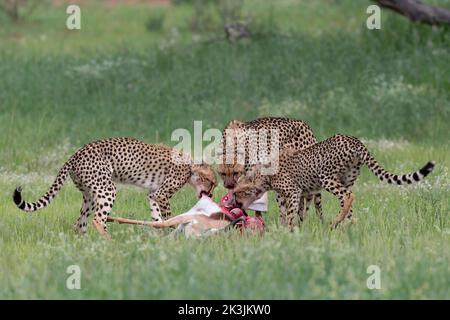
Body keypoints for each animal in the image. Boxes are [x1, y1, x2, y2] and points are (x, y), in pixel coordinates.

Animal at [12, 138, 216, 238]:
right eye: (212, 182)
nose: (211, 194)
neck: (190, 167)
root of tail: (76, 153)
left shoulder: (153, 194)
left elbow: (157, 217)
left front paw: (161, 236)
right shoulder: (162, 194)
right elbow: (167, 216)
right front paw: (171, 232)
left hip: (89, 195)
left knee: (80, 223)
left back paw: (85, 246)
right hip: (107, 189)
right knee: (97, 219)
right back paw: (110, 243)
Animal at [232, 134, 432, 230]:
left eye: (238, 191)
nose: (236, 203)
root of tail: (353, 139)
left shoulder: (294, 191)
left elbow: (291, 214)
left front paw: (289, 231)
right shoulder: (301, 193)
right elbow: (293, 213)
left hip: (327, 178)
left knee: (348, 196)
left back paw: (336, 222)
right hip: (346, 179)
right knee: (348, 201)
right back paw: (348, 226)